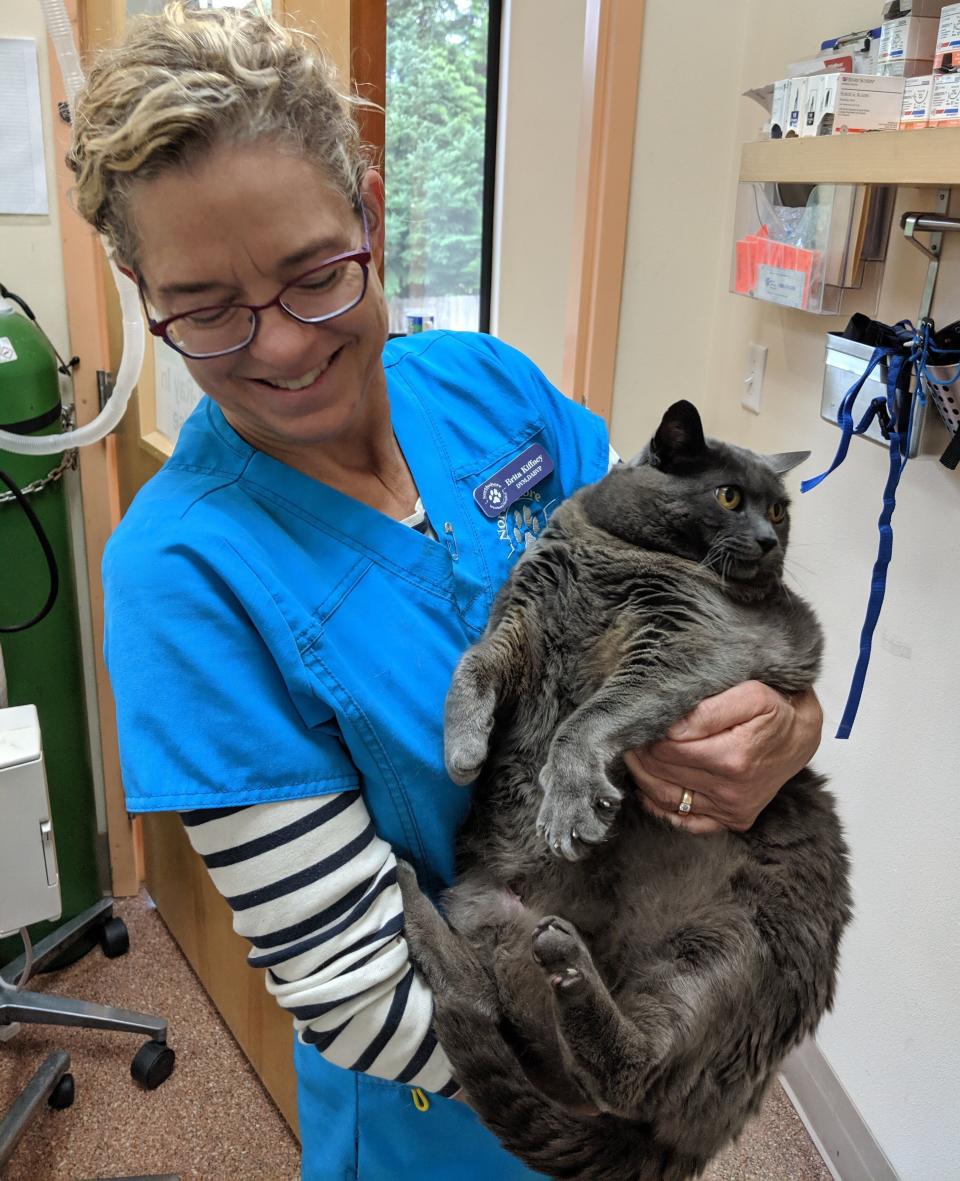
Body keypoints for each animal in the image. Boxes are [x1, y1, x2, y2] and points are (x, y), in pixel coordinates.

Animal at [394, 401, 845, 1176]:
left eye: (781, 510)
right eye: (730, 496)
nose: (766, 538)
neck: (619, 555)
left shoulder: (694, 646)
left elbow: (591, 714)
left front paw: (569, 802)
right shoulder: (523, 613)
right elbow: (475, 663)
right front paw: (463, 749)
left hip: (737, 943)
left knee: (635, 1071)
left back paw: (569, 964)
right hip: (489, 913)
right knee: (492, 1011)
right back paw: (426, 901)